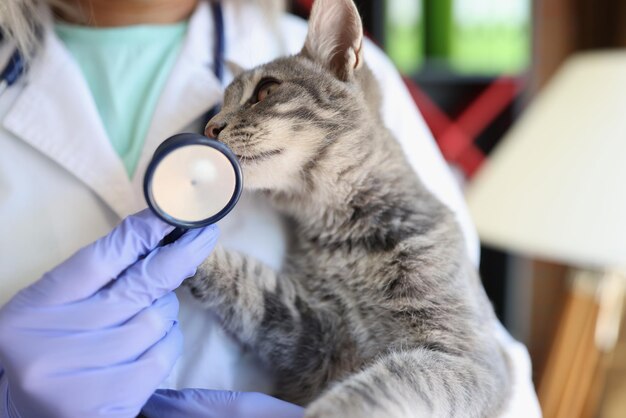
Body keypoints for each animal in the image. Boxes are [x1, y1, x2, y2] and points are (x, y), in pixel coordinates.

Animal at [185, 0, 508, 414]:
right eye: (220, 104)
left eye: (265, 90)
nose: (210, 127)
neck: (344, 236)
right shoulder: (314, 333)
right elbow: (248, 282)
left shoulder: (466, 359)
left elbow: (393, 379)